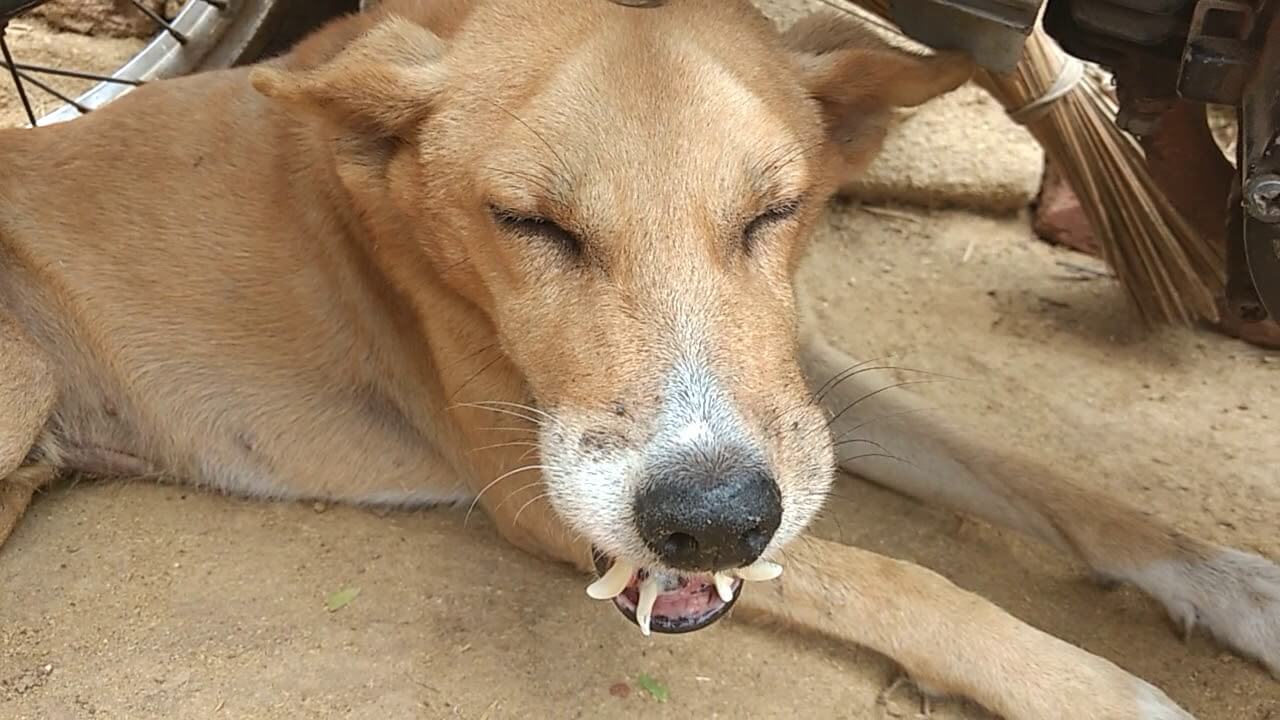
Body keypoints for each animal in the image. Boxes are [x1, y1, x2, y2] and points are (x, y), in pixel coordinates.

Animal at [0, 2, 1274, 712]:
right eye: (528, 224)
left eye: (776, 211)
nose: (712, 524)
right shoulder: (539, 494)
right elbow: (905, 579)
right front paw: (1097, 690)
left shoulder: (800, 392)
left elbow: (1046, 484)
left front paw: (1233, 583)